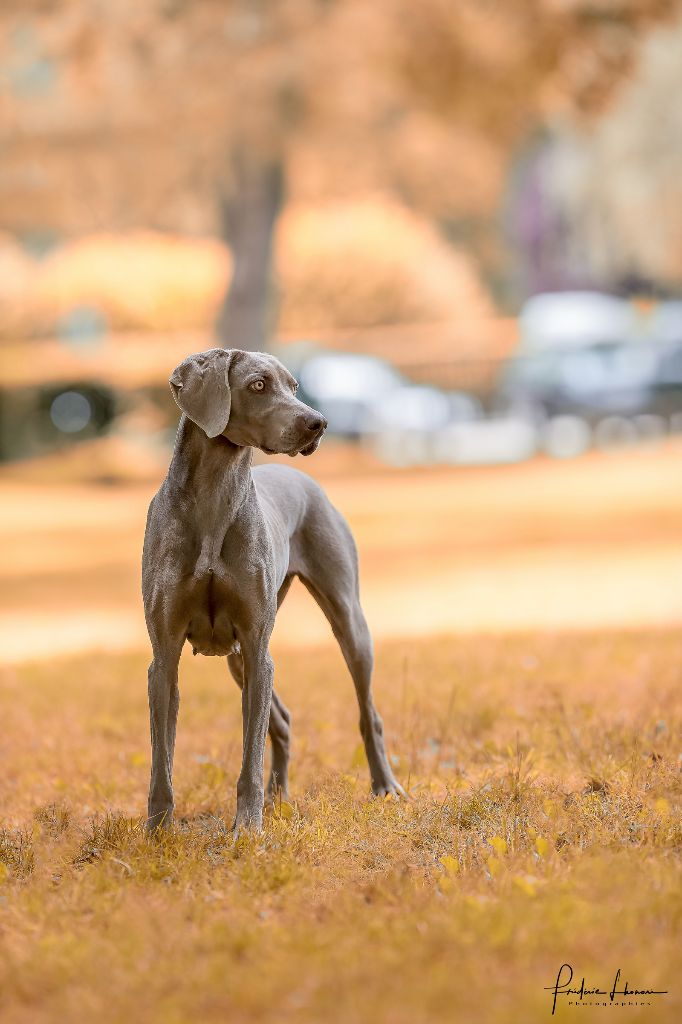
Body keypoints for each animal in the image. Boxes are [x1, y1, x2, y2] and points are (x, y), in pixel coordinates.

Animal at [140, 348, 401, 835]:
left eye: (294, 386)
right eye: (258, 385)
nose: (318, 423)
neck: (214, 496)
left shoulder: (258, 646)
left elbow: (250, 755)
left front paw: (247, 827)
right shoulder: (164, 659)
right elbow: (161, 759)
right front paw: (158, 832)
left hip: (346, 624)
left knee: (367, 713)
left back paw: (385, 786)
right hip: (236, 657)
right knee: (280, 720)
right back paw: (279, 798)